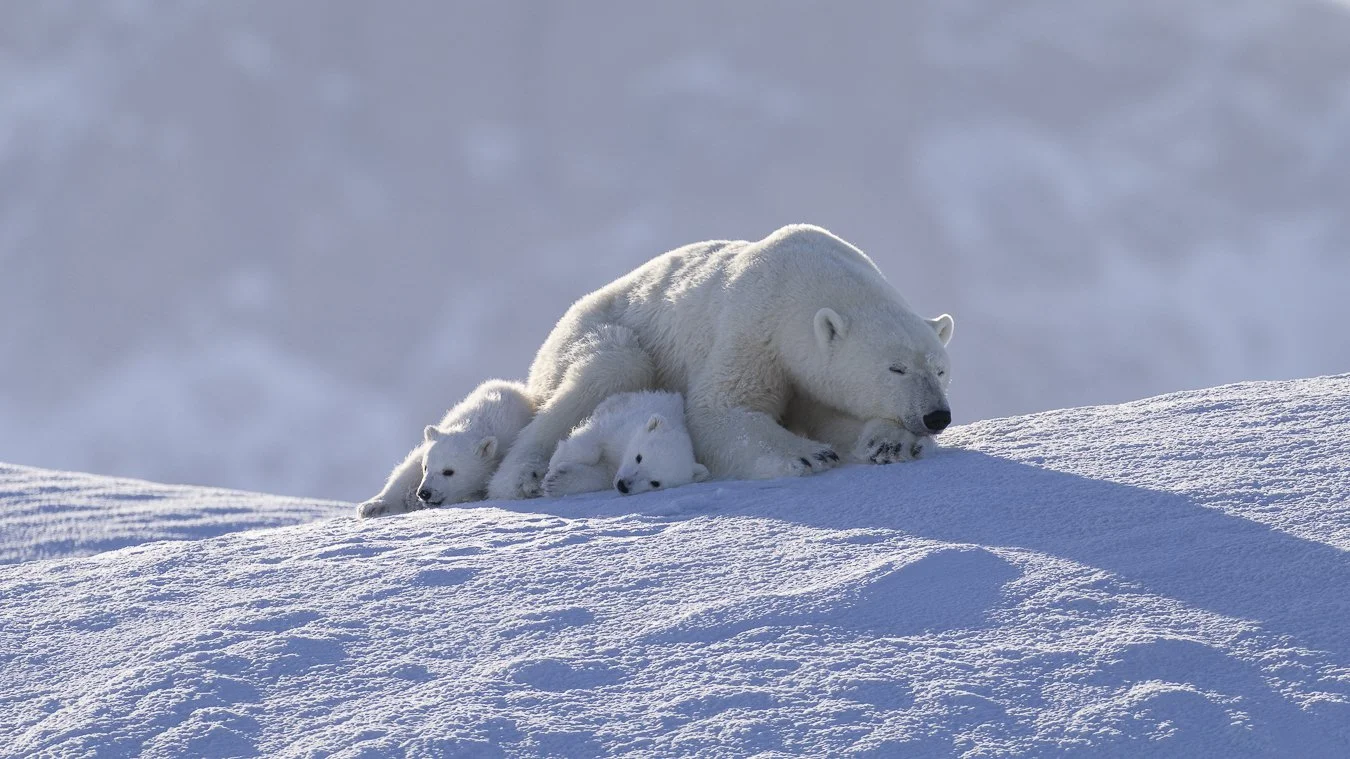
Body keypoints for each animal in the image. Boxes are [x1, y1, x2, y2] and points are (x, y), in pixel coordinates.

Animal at [357, 379, 534, 518]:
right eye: (426, 467)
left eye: (449, 471)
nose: (424, 493)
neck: (482, 422)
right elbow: (408, 469)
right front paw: (371, 506)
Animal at [541, 390, 710, 498]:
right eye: (639, 457)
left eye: (655, 483)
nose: (623, 485)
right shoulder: (620, 425)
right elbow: (592, 441)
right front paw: (556, 460)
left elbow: (602, 475)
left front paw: (556, 481)